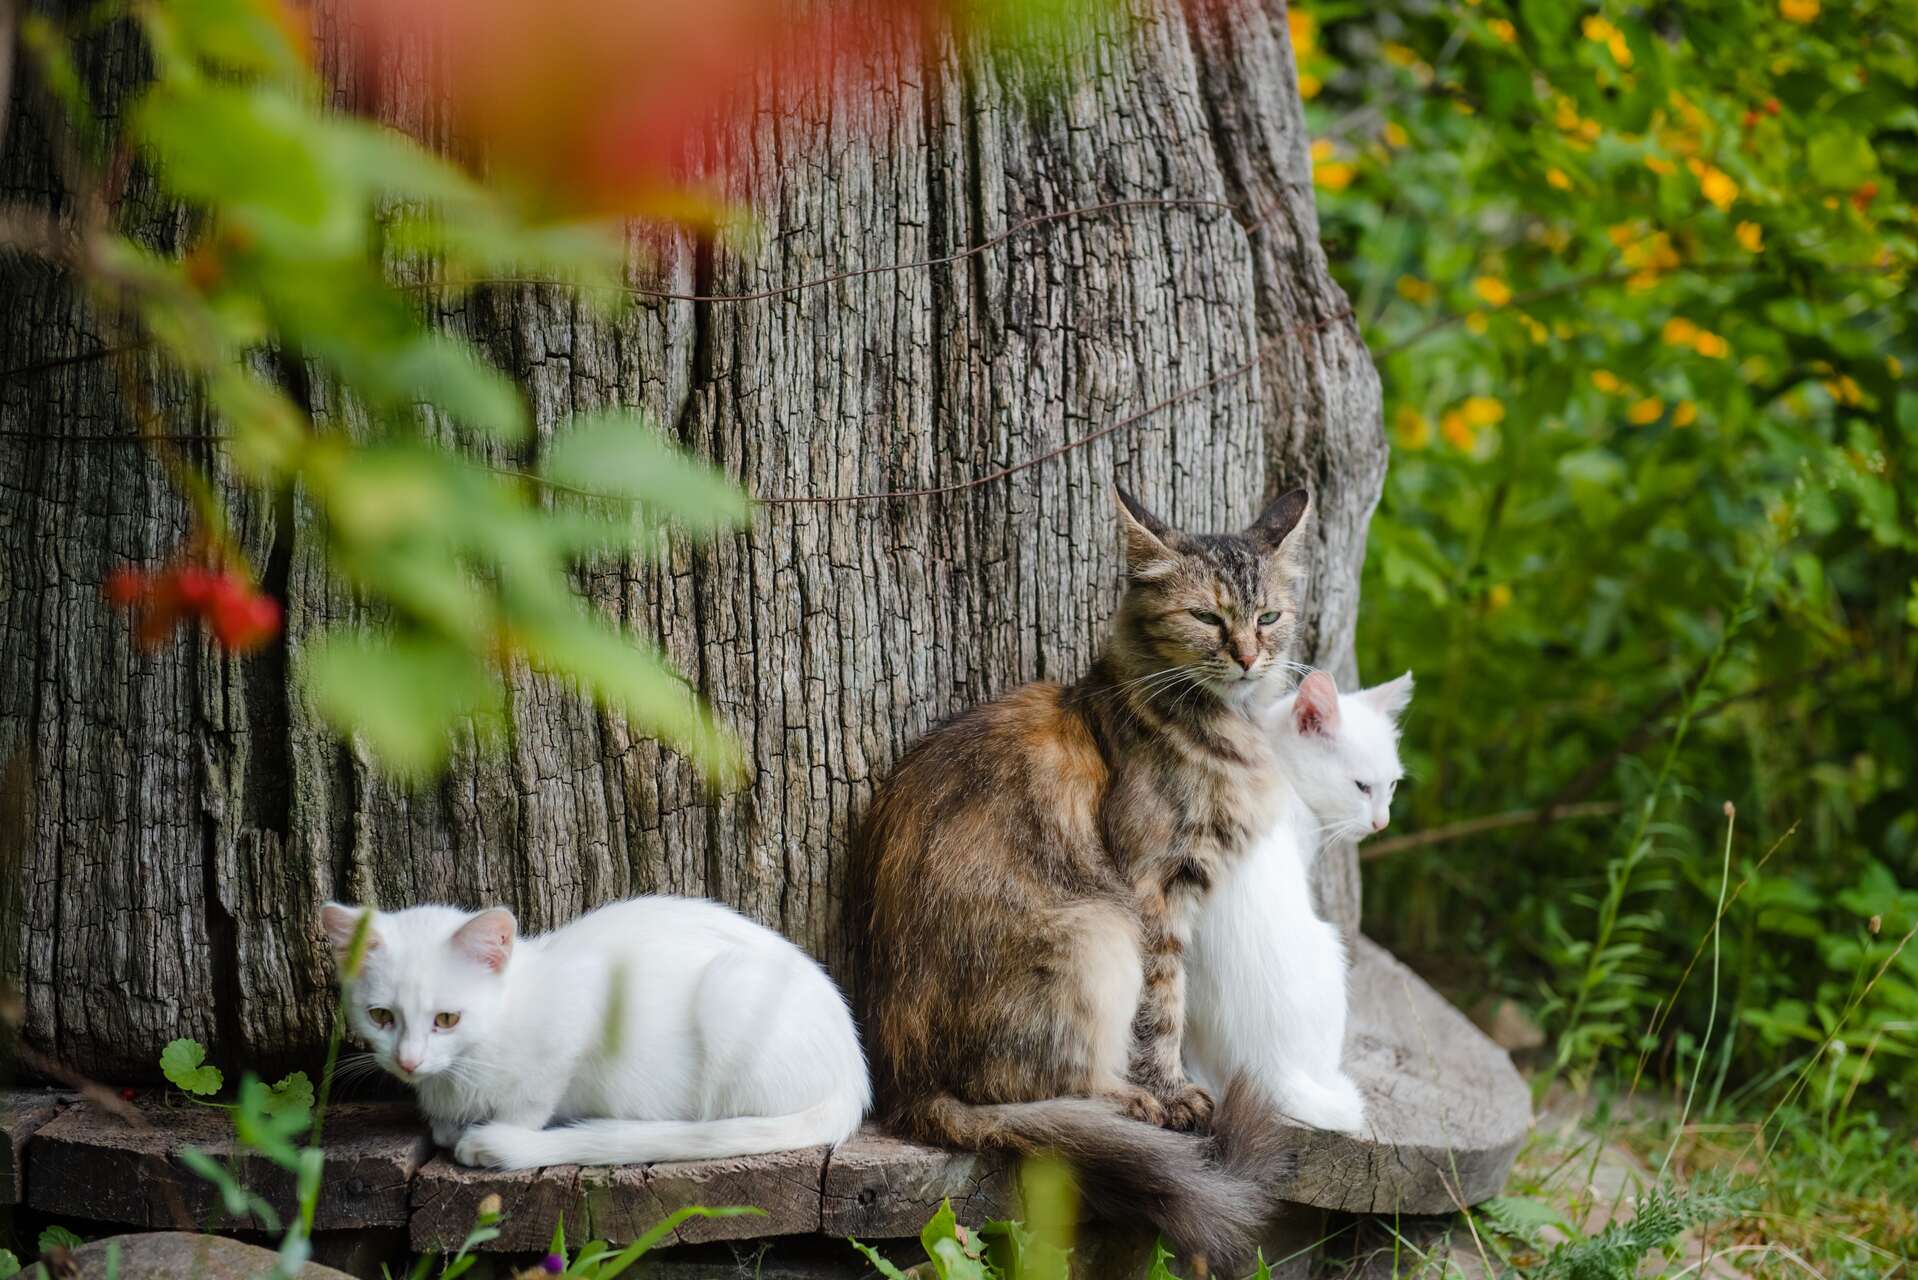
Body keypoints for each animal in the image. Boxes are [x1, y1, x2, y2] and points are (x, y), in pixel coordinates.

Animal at [320, 898, 870, 1166]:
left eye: (446, 1019)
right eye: (381, 1016)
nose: (408, 1061)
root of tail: (854, 1078)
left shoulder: (583, 1009)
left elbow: (532, 1099)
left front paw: (500, 1131)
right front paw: (451, 1124)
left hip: (731, 990)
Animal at [863, 483, 1311, 1274]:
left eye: (1267, 617)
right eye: (1206, 618)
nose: (1249, 657)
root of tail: (906, 1087)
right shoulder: (1152, 890)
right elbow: (1164, 1011)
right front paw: (1172, 1090)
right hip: (1096, 933)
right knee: (1033, 1094)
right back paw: (1136, 1104)